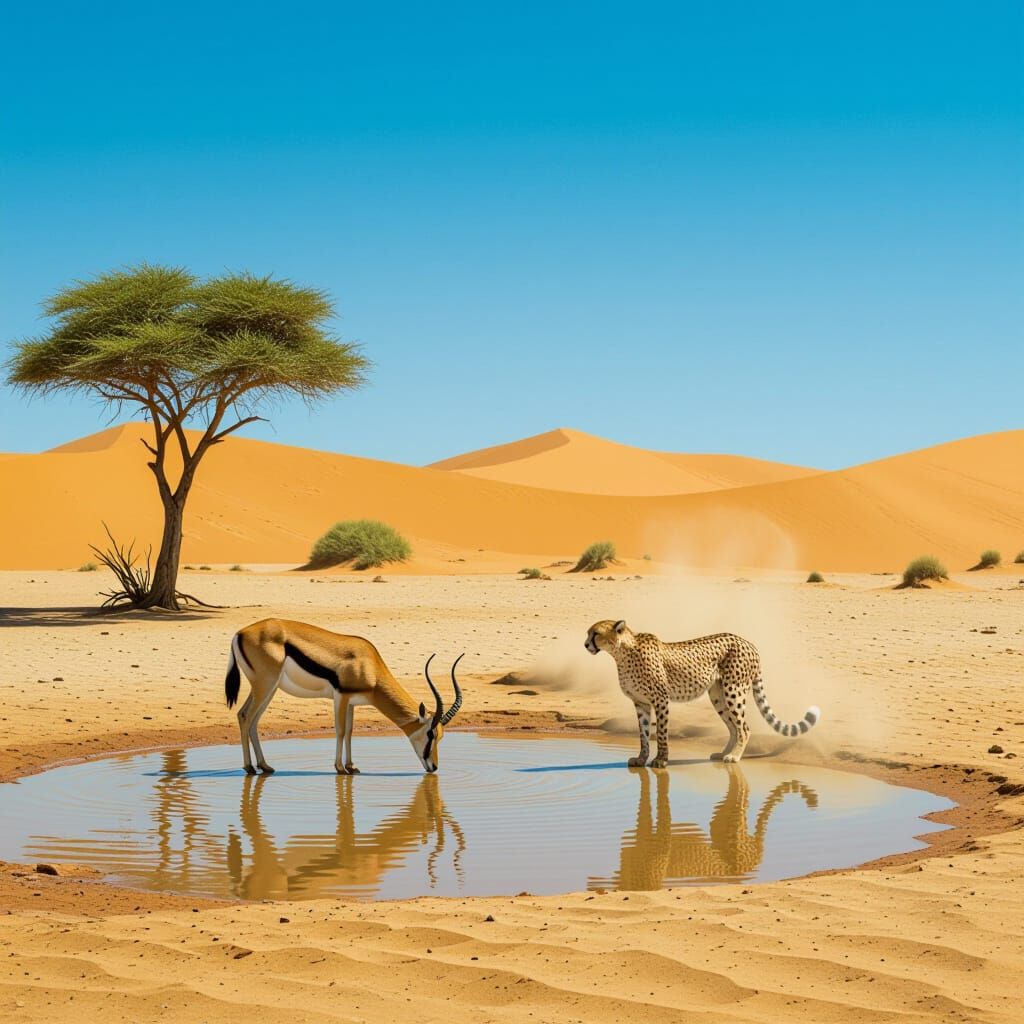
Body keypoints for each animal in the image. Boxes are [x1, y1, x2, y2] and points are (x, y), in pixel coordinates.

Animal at [224, 619, 463, 774]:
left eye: (440, 736)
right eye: (431, 734)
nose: (434, 767)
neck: (369, 664)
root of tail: (240, 633)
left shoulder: (352, 703)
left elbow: (349, 732)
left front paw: (351, 766)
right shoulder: (341, 697)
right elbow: (339, 731)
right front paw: (340, 768)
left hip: (269, 689)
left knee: (250, 719)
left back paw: (264, 766)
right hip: (265, 686)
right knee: (245, 716)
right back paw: (249, 768)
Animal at [585, 619, 821, 766]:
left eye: (595, 633)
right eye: (589, 633)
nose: (586, 644)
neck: (621, 654)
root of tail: (748, 643)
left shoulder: (661, 700)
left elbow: (660, 732)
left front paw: (661, 760)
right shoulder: (640, 703)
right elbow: (643, 735)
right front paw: (641, 760)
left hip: (734, 690)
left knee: (743, 727)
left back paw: (734, 757)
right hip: (717, 695)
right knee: (733, 727)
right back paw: (724, 753)